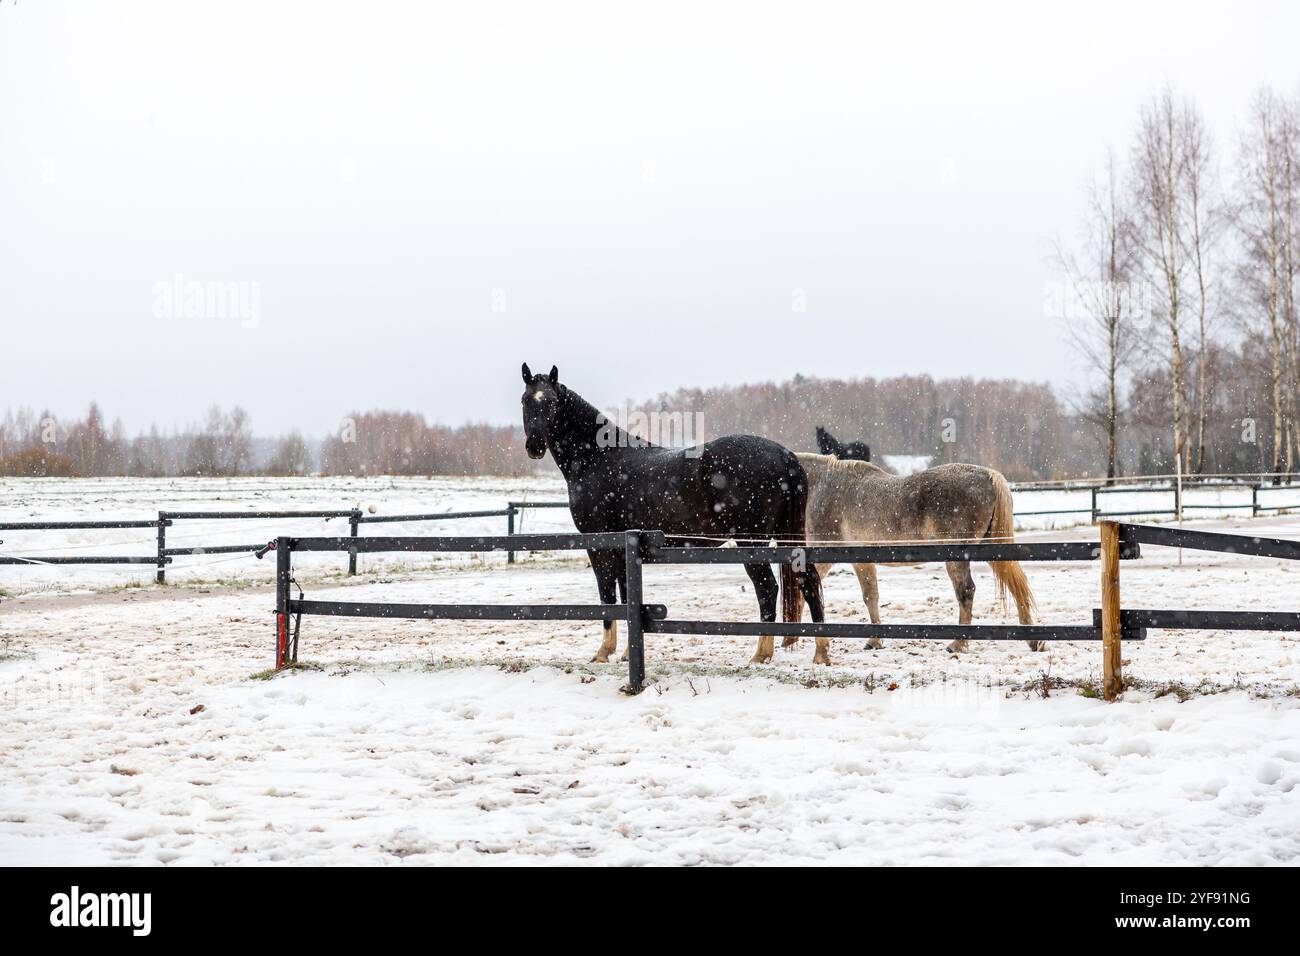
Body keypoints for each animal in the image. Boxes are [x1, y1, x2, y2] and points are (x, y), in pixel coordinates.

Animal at [520, 364, 825, 665]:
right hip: (786, 536)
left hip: (752, 542)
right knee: (807, 579)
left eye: (551, 402)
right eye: (525, 400)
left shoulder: (599, 544)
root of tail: (784, 454)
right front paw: (626, 651)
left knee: (767, 588)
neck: (597, 459)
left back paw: (761, 654)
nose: (534, 447)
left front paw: (604, 651)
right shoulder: (623, 547)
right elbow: (626, 594)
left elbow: (607, 595)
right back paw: (821, 652)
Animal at [782, 453, 1039, 663]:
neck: (823, 487)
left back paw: (958, 644)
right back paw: (1032, 639)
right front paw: (874, 641)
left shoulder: (824, 558)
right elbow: (871, 597)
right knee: (1016, 585)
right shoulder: (862, 562)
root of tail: (990, 476)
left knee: (966, 592)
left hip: (958, 558)